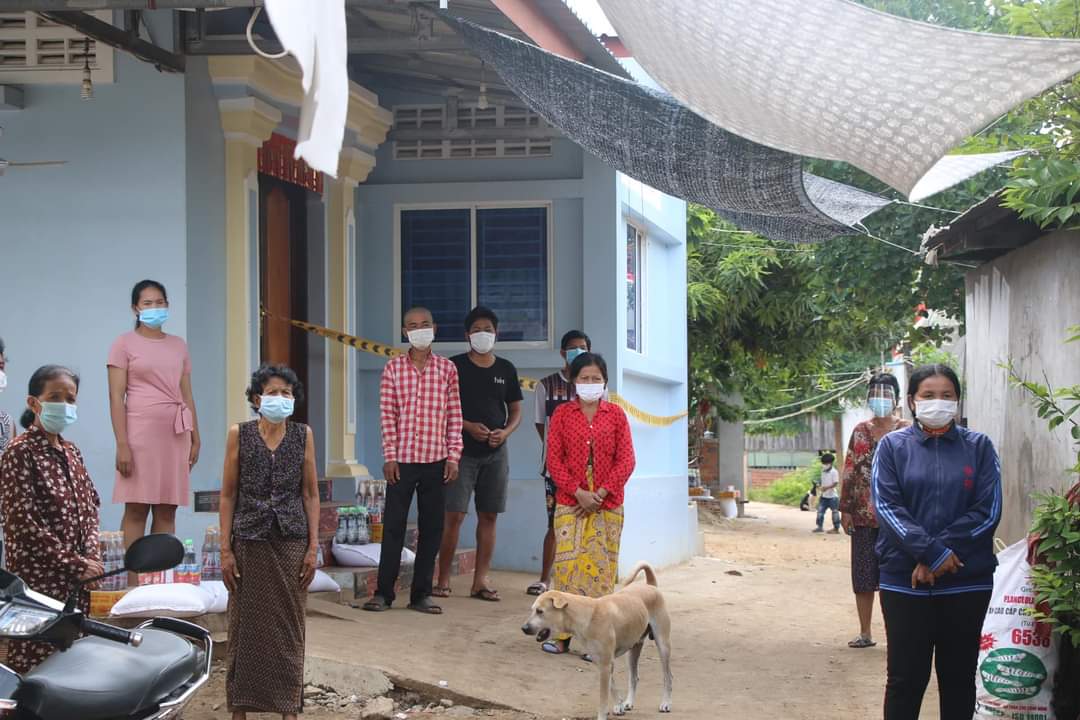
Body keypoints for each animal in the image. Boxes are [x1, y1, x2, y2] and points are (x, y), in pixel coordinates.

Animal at [521, 562, 672, 720]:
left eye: (540, 611)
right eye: (533, 610)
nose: (524, 628)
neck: (587, 615)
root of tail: (651, 585)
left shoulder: (605, 664)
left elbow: (603, 697)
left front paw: (603, 714)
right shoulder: (602, 662)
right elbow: (612, 686)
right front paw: (619, 705)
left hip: (663, 645)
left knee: (668, 676)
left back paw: (666, 703)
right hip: (633, 649)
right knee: (634, 677)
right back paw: (629, 702)